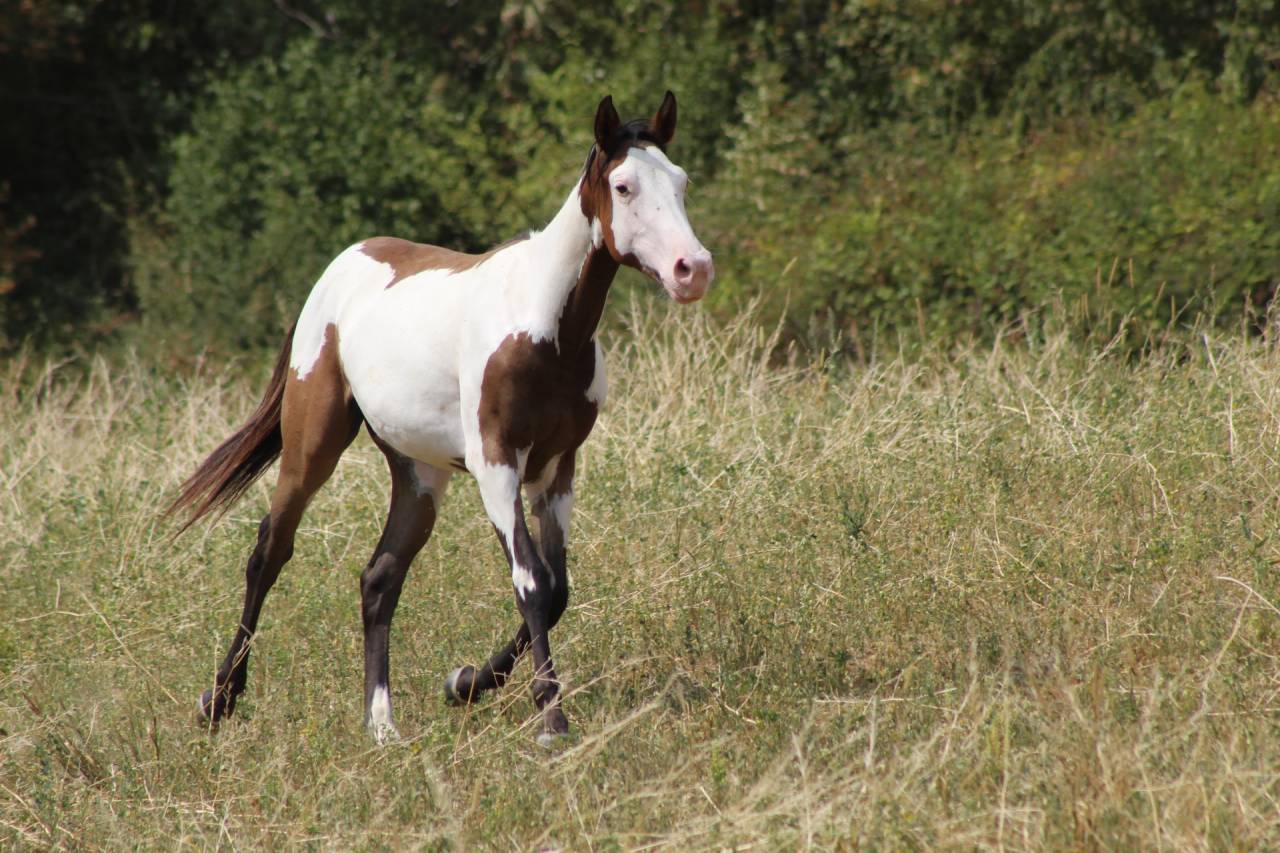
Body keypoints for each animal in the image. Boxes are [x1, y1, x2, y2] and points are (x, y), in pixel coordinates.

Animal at [167, 92, 714, 745]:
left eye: (682, 182)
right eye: (624, 185)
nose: (693, 268)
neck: (543, 327)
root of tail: (339, 268)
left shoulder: (557, 469)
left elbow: (557, 590)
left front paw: (465, 683)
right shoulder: (496, 464)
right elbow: (532, 583)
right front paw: (550, 718)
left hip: (419, 474)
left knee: (378, 579)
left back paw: (382, 725)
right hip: (312, 444)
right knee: (269, 552)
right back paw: (219, 700)